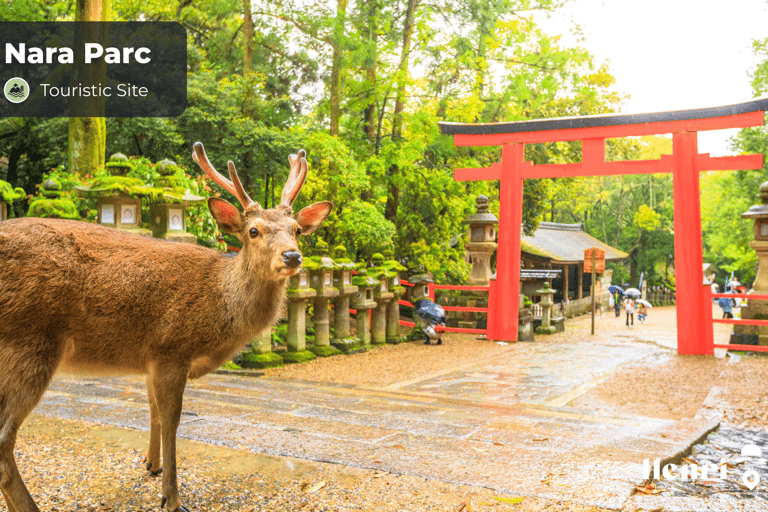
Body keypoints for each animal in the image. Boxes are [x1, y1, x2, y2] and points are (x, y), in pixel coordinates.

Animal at [0, 142, 332, 512]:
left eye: (297, 230)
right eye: (253, 231)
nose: (292, 256)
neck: (219, 306)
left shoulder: (150, 357)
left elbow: (153, 411)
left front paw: (151, 465)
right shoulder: (171, 348)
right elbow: (173, 419)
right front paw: (171, 497)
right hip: (30, 340)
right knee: (4, 440)